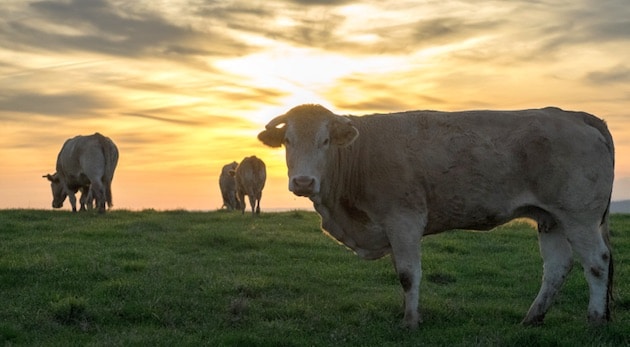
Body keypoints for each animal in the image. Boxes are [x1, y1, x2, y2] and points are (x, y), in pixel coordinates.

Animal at [258, 104, 616, 328]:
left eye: (325, 140)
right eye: (287, 141)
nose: (303, 182)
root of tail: (574, 115)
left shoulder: (404, 220)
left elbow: (407, 274)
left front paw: (410, 322)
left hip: (579, 217)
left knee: (597, 262)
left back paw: (595, 319)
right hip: (551, 218)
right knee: (556, 267)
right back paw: (532, 318)